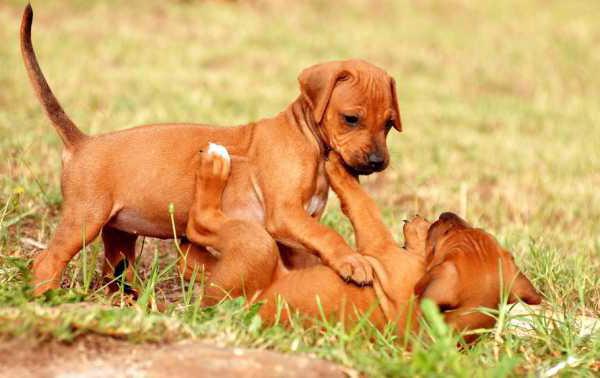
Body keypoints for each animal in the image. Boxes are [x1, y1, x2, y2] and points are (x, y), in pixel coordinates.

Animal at [19, 6, 404, 296]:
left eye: (388, 124)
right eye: (351, 119)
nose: (377, 162)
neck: (308, 139)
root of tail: (82, 141)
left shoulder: (297, 228)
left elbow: (307, 252)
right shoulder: (285, 215)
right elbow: (327, 235)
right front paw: (352, 260)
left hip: (120, 233)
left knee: (115, 273)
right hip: (84, 219)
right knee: (47, 261)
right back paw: (47, 298)